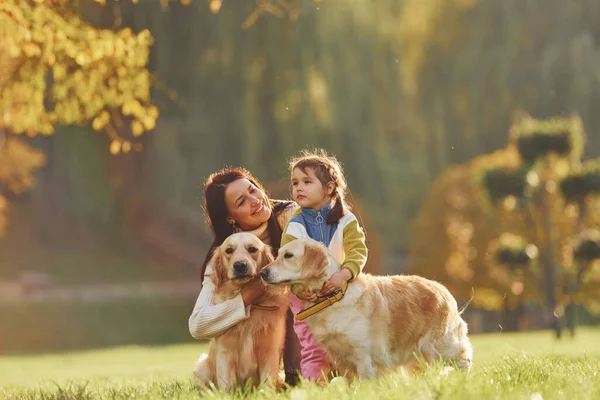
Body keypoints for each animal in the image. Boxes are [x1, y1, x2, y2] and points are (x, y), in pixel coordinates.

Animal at [191, 233, 288, 390]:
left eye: (252, 249)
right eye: (229, 250)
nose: (240, 265)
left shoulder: (270, 351)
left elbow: (267, 386)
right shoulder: (225, 353)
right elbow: (226, 388)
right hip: (202, 366)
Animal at [262, 239, 474, 380]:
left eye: (288, 256)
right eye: (278, 254)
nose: (263, 272)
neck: (334, 297)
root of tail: (444, 290)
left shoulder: (363, 356)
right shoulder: (342, 360)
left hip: (440, 346)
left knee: (465, 360)